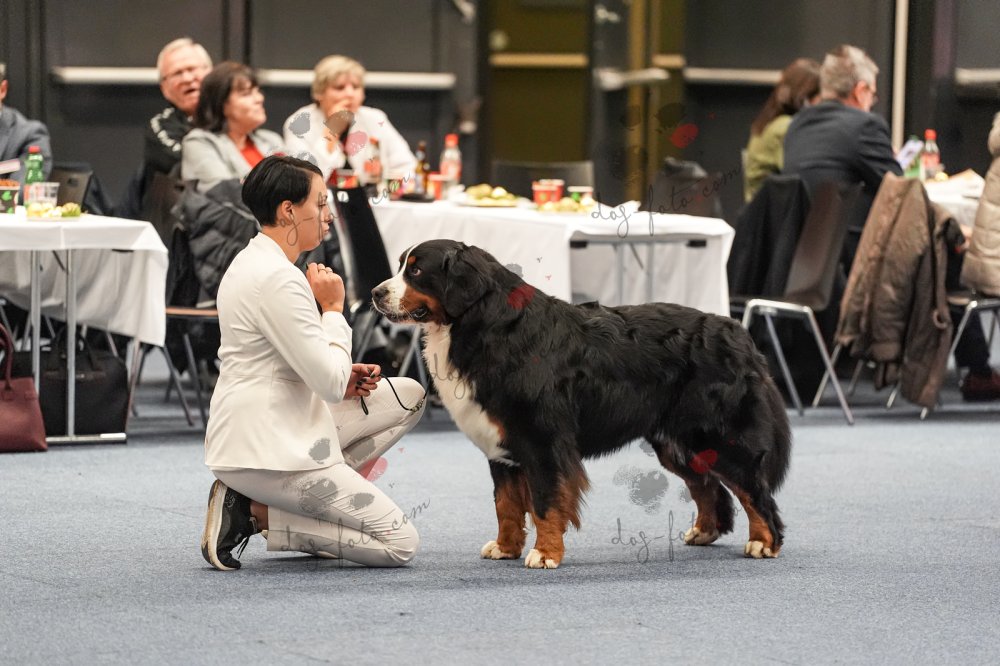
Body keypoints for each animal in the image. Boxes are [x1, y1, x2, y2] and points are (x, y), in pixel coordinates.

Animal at [372, 240, 791, 568]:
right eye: (401, 265)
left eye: (416, 270)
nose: (376, 293)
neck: (487, 327)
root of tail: (736, 330)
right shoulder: (501, 444)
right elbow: (506, 504)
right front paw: (506, 547)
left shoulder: (541, 439)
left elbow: (545, 501)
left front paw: (545, 554)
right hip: (678, 441)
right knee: (708, 485)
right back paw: (704, 532)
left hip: (717, 434)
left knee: (754, 489)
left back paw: (763, 542)